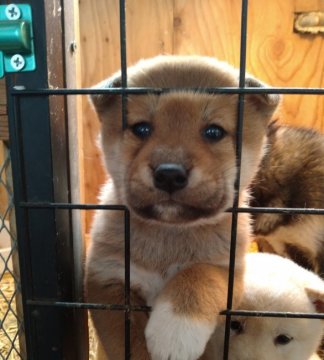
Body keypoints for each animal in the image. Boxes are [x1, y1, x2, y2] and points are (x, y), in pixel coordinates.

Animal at [85, 56, 280, 360]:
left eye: (213, 132)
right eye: (142, 128)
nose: (169, 174)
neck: (169, 235)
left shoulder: (229, 273)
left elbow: (199, 274)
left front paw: (175, 331)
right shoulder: (108, 278)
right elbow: (129, 342)